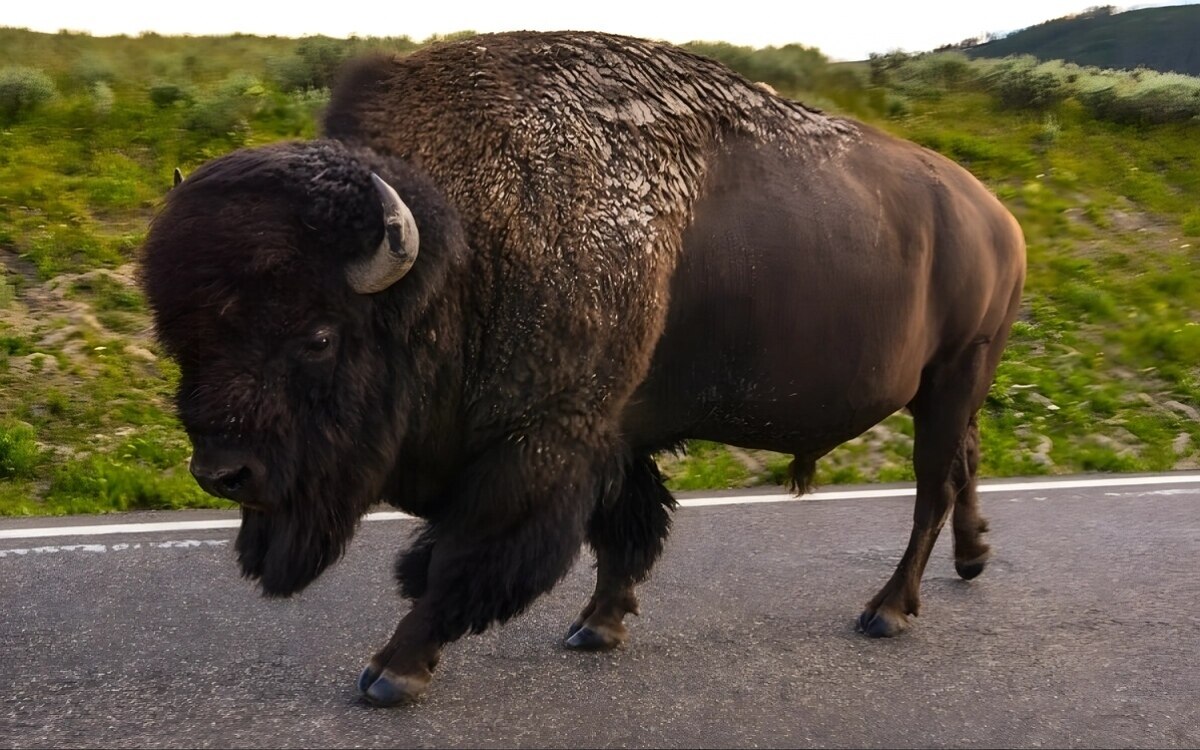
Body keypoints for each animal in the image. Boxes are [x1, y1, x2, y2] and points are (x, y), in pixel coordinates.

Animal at [138, 30, 1022, 705]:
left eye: (319, 337)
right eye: (181, 335)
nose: (222, 471)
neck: (468, 252)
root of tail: (997, 217)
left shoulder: (542, 443)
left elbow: (465, 555)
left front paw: (393, 671)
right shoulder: (613, 435)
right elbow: (626, 529)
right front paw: (597, 625)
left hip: (953, 376)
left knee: (931, 489)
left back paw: (888, 610)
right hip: (951, 389)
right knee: (964, 464)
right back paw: (973, 560)